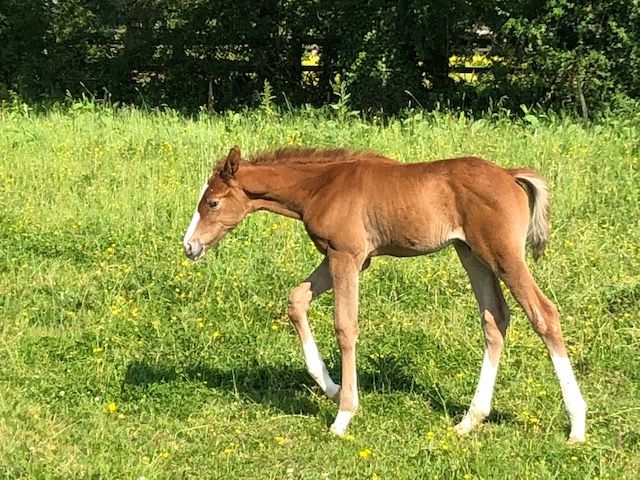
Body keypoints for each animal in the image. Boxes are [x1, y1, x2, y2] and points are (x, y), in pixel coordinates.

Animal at [182, 146, 586, 442]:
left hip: (503, 254)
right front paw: (331, 388)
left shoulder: (346, 255)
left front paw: (343, 415)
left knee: (544, 314)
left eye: (212, 202)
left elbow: (345, 327)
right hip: (471, 254)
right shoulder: (349, 258)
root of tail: (509, 174)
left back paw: (577, 425)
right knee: (495, 319)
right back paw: (469, 420)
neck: (321, 185)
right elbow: (296, 300)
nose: (189, 246)